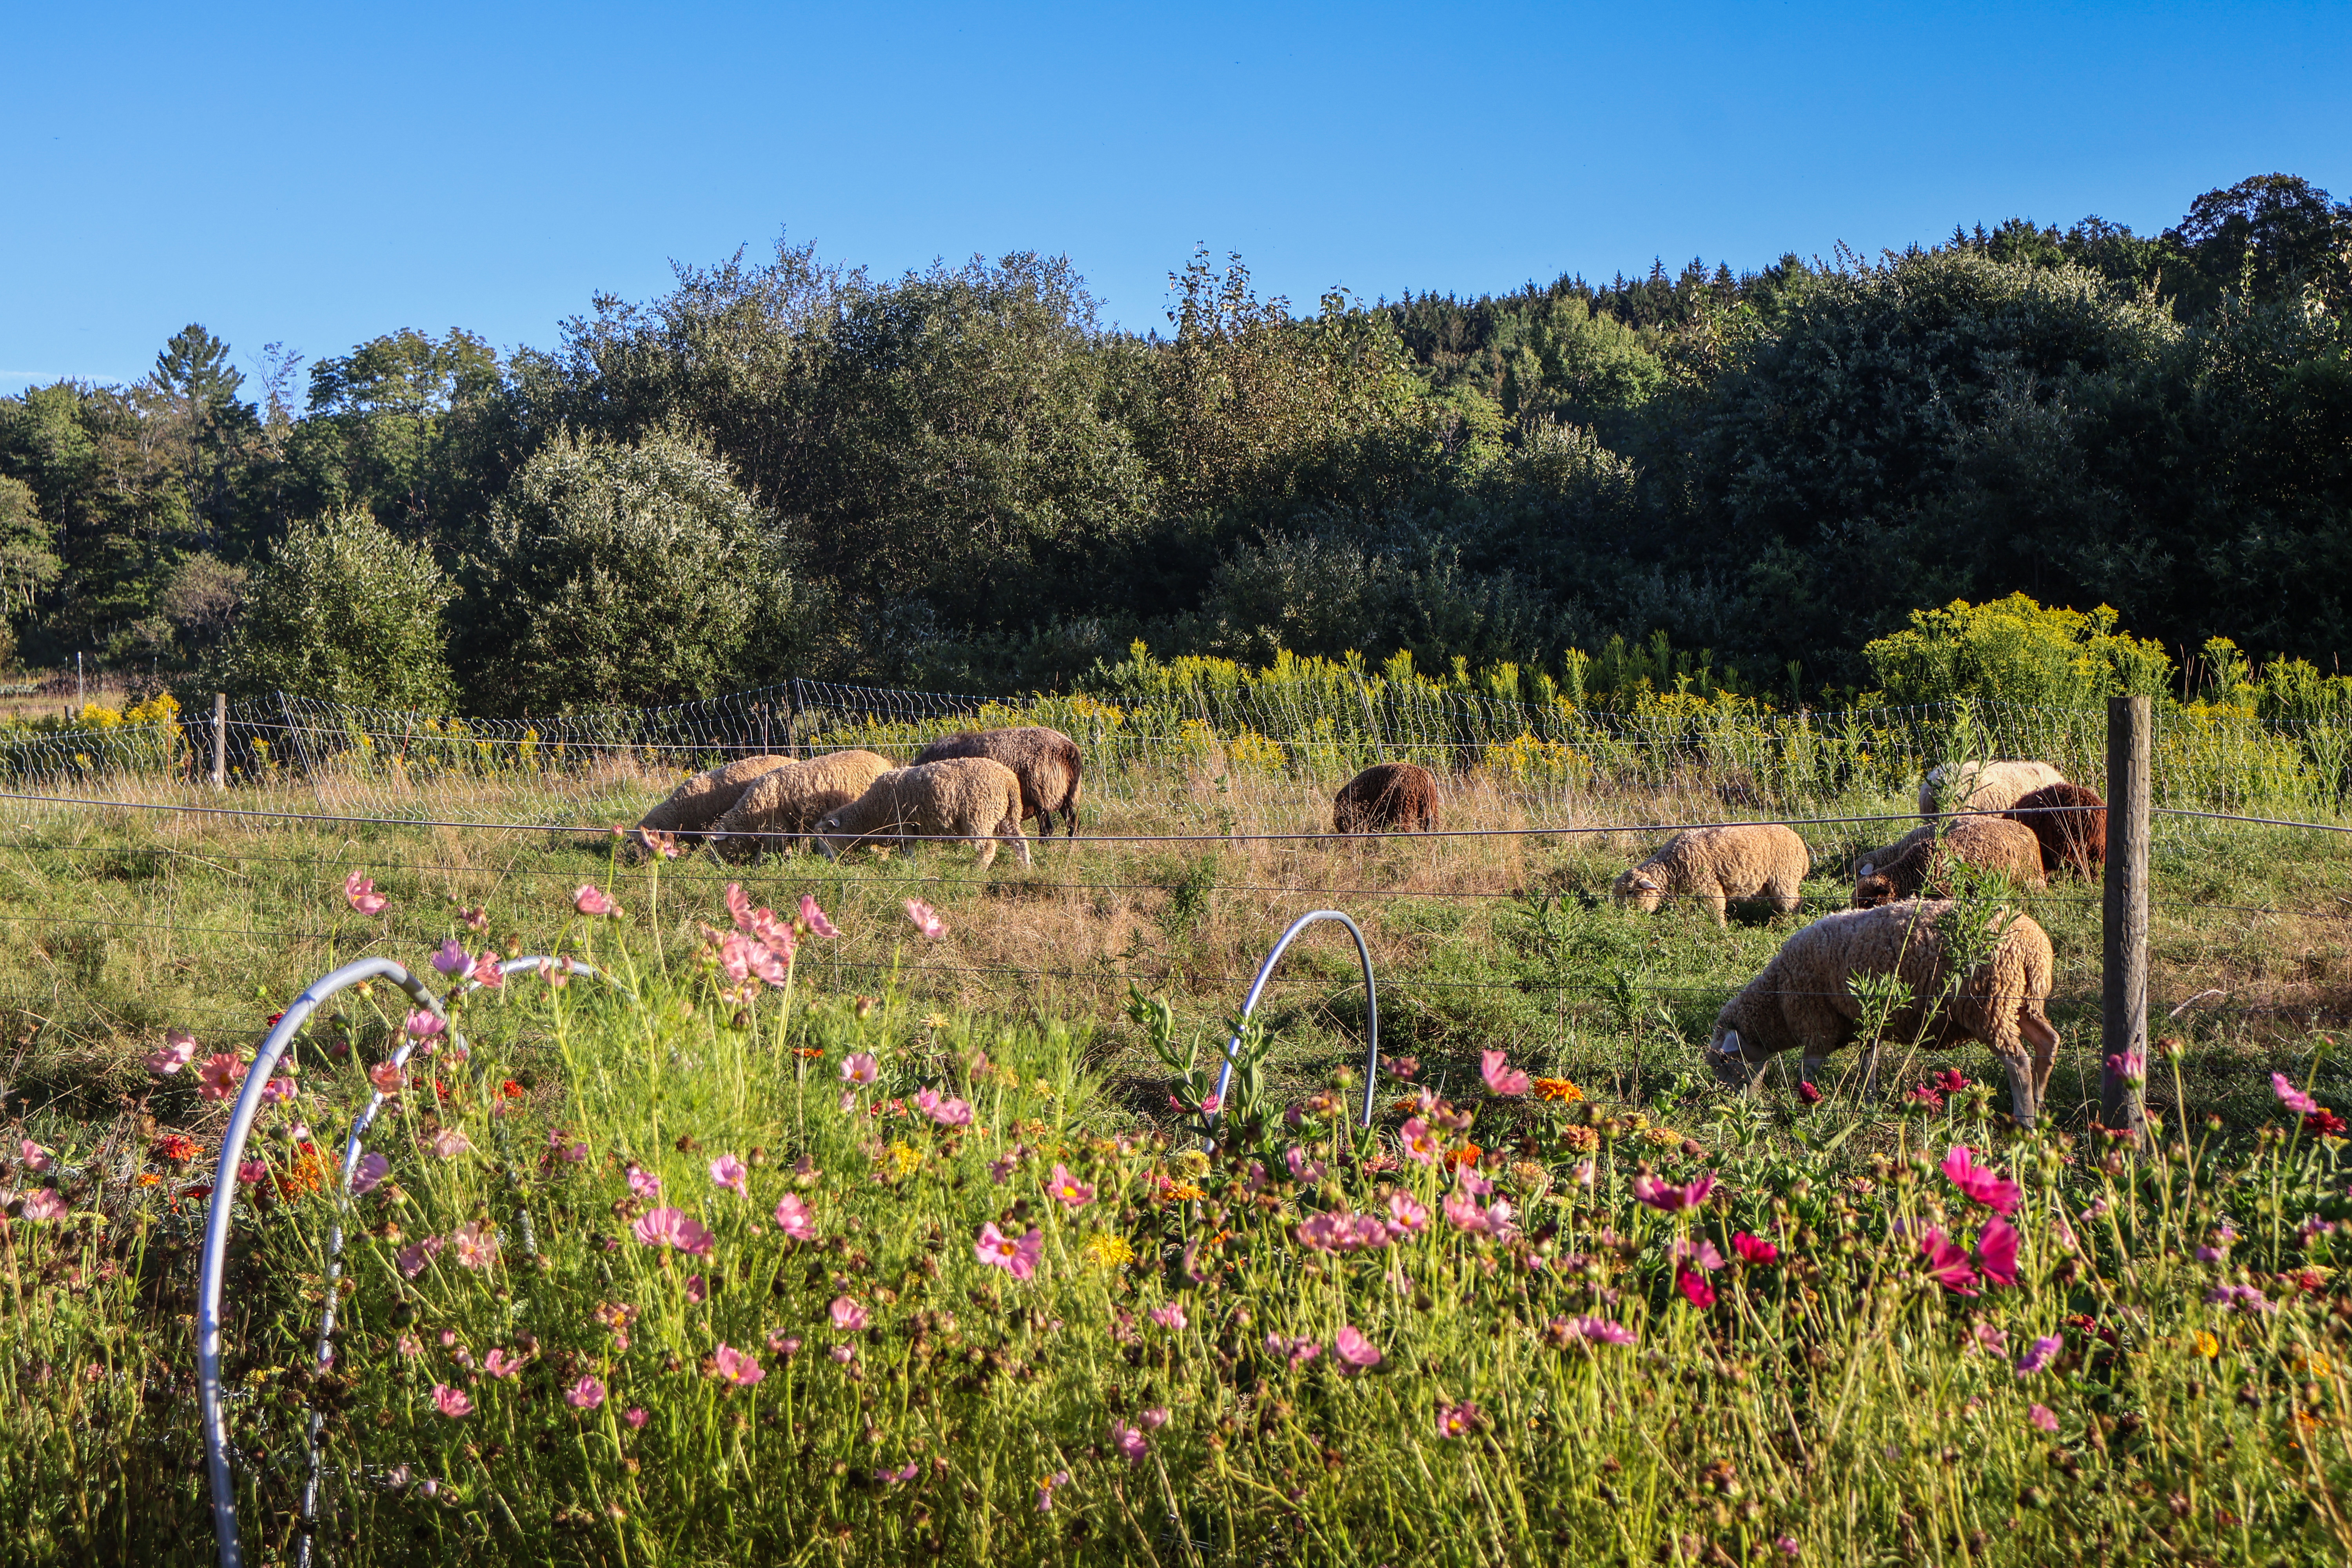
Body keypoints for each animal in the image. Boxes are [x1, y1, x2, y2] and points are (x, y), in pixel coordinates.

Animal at [812, 757, 1030, 868]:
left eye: (826, 834)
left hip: (980, 815)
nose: (825, 859)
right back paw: (1025, 868)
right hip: (1004, 816)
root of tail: (1008, 778)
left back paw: (978, 871)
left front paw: (911, 869)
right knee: (1020, 842)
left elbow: (907, 852)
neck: (870, 814)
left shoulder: (903, 827)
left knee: (989, 848)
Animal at [1610, 824, 1810, 926]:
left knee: (1792, 905)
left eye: (1630, 892)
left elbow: (1716, 911)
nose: (1619, 915)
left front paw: (1722, 931)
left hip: (1785, 879)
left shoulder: (1709, 887)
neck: (1671, 866)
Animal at [1705, 899, 2062, 1125]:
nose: (1735, 1107)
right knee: (2048, 1042)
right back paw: (2040, 1102)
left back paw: (2025, 1119)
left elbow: (1809, 1068)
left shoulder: (1818, 1022)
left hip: (1990, 1005)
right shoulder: (1868, 1021)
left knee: (2018, 1063)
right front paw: (1869, 1103)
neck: (1778, 999)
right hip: (2021, 1004)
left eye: (1724, 1063)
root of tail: (2034, 946)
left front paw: (1802, 1101)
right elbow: (1869, 1065)